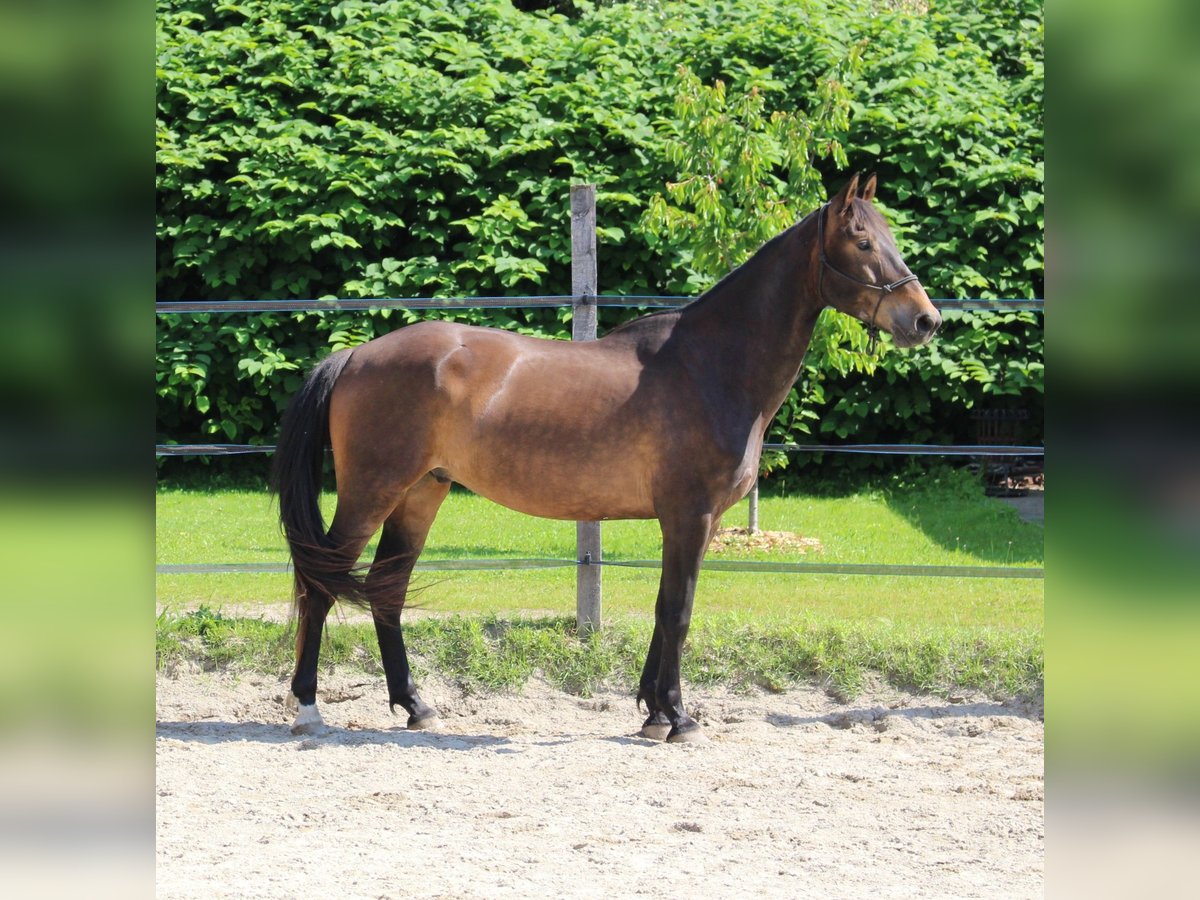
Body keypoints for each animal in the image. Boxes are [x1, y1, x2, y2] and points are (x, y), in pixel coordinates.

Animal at [270, 174, 936, 739]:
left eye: (891, 237)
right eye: (861, 241)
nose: (924, 320)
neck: (710, 364)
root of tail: (355, 356)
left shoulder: (692, 521)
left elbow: (665, 607)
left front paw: (653, 713)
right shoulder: (690, 515)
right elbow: (679, 611)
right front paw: (679, 717)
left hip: (420, 493)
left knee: (387, 590)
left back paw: (416, 706)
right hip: (372, 492)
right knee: (322, 584)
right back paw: (307, 707)